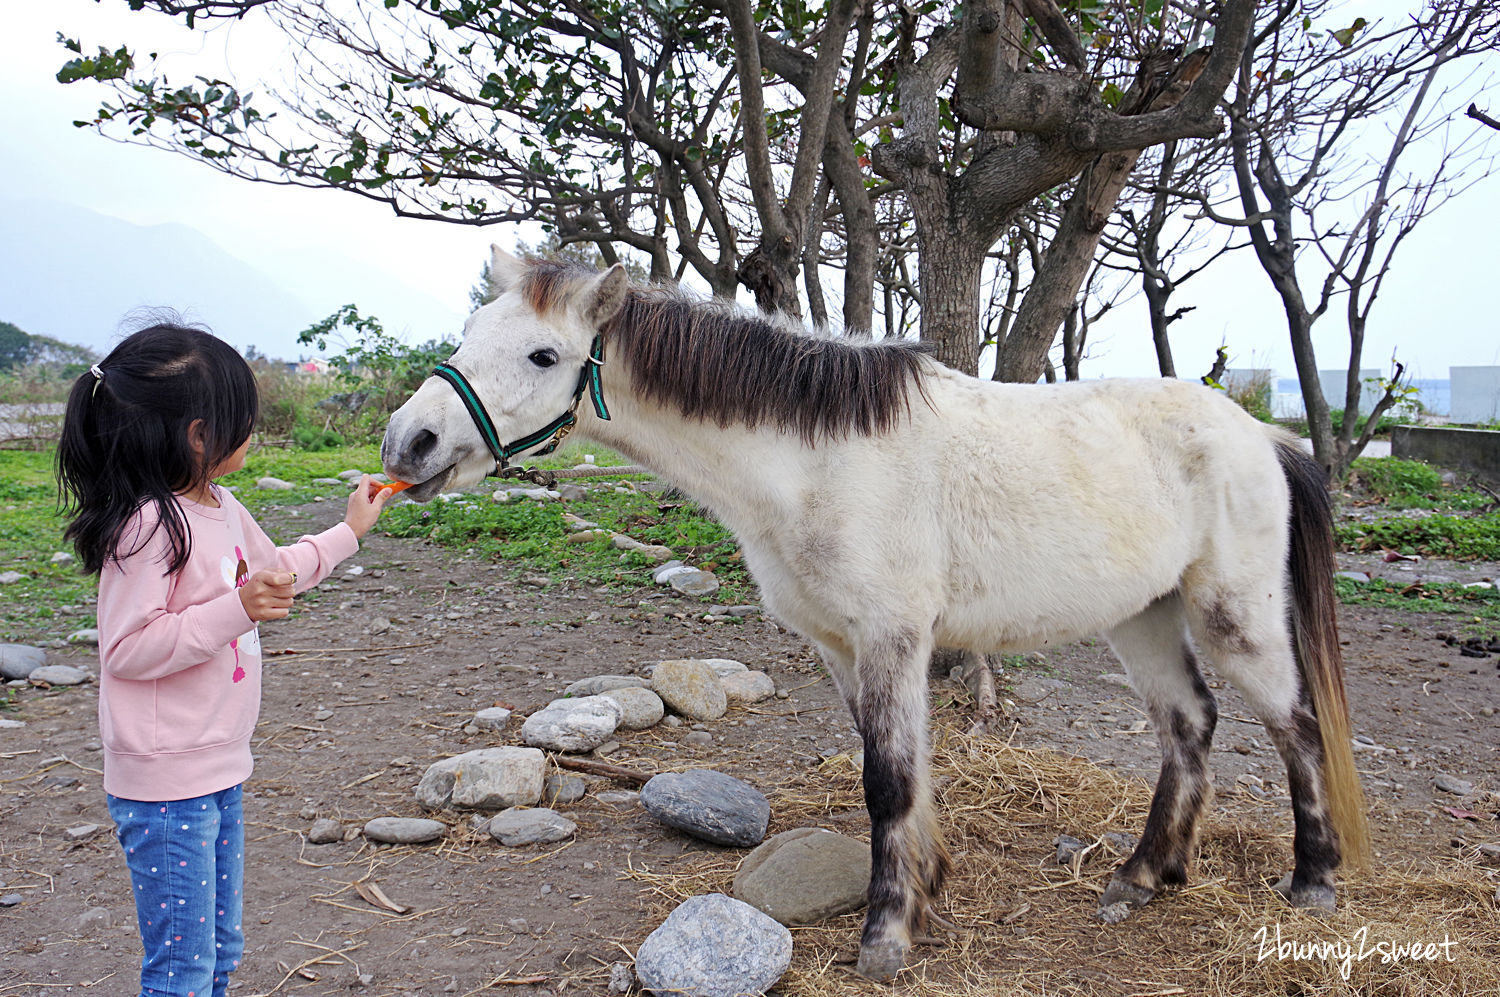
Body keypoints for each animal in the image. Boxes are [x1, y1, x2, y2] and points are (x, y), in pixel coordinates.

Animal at [387, 248, 1374, 977]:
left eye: (542, 356)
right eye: (470, 335)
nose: (409, 442)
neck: (813, 460)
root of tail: (1263, 435)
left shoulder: (895, 639)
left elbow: (889, 780)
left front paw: (887, 935)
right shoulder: (841, 646)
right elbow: (895, 769)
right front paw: (926, 887)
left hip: (1235, 616)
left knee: (1293, 724)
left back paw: (1313, 881)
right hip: (1143, 615)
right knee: (1189, 723)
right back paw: (1144, 874)